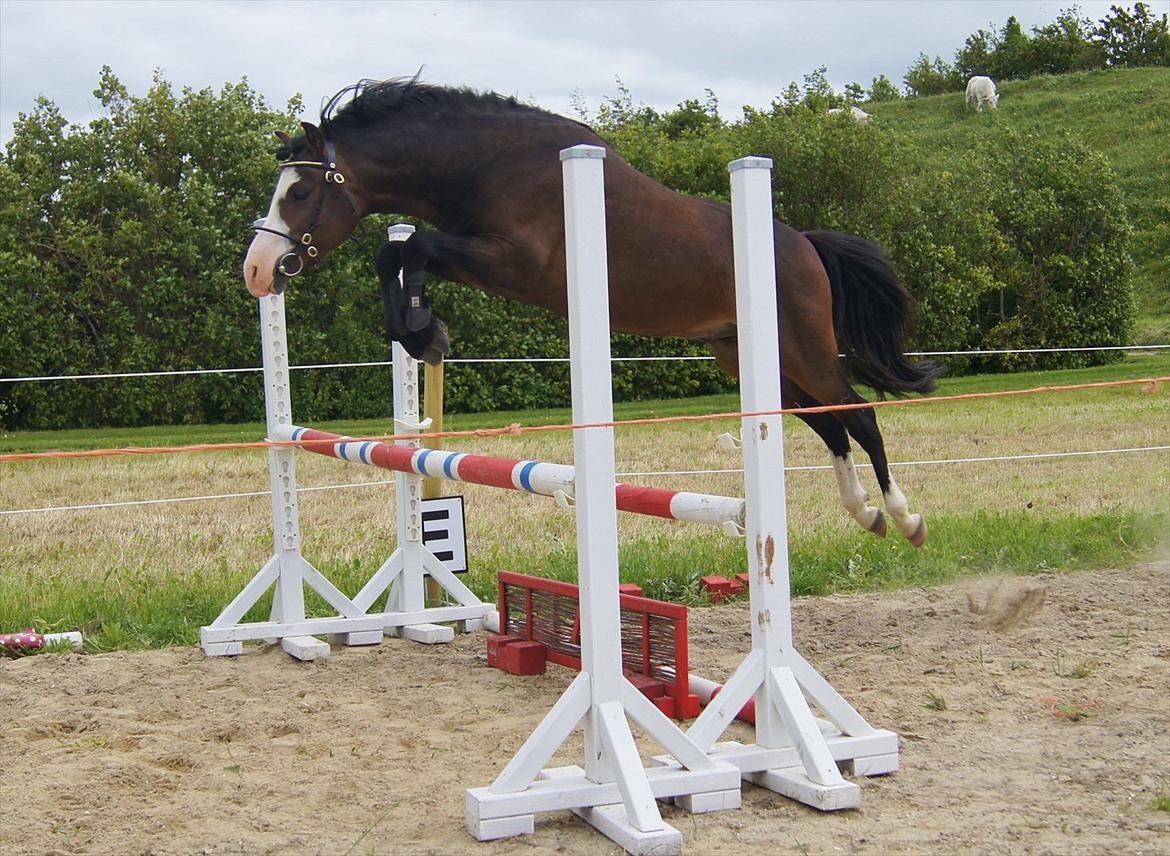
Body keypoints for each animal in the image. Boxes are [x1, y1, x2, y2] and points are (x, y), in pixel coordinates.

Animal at [243, 78, 942, 546]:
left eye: (299, 193)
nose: (257, 270)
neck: (487, 163)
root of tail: (804, 245)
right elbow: (396, 254)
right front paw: (421, 331)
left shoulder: (516, 264)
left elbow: (410, 247)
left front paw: (422, 328)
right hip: (746, 356)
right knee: (829, 423)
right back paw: (865, 513)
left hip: (802, 346)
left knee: (858, 414)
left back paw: (904, 517)